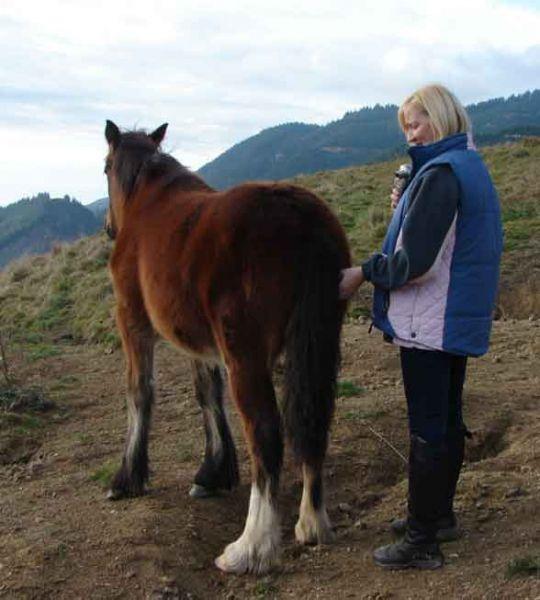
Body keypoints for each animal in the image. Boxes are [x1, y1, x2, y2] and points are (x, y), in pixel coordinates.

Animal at [103, 119, 352, 576]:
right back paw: (311, 522)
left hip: (247, 356)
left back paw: (251, 547)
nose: (108, 227)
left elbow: (140, 392)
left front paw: (127, 477)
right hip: (319, 342)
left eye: (105, 166)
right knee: (312, 418)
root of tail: (301, 217)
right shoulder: (196, 340)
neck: (149, 198)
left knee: (267, 433)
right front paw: (213, 472)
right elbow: (207, 393)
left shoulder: (133, 321)